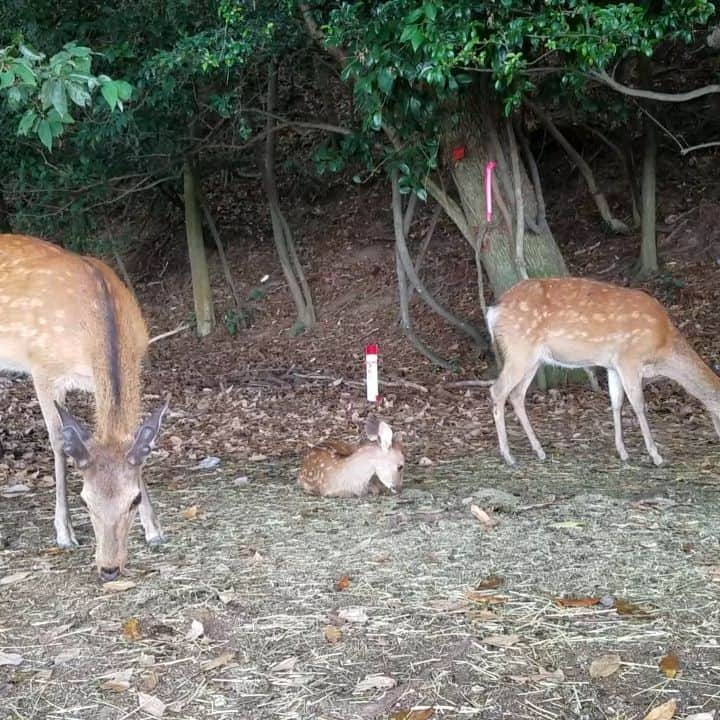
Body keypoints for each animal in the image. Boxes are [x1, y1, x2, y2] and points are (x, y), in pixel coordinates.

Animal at [0, 233, 169, 584]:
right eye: (85, 501)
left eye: (133, 499)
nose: (109, 568)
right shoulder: (42, 369)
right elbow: (57, 442)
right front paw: (64, 533)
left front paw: (155, 530)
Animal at [486, 276, 720, 466]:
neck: (662, 348)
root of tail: (493, 311)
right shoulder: (629, 358)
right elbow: (638, 404)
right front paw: (656, 455)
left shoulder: (612, 365)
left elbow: (616, 402)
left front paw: (623, 452)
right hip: (520, 349)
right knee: (497, 390)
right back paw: (508, 456)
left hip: (532, 359)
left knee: (516, 394)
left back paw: (539, 450)